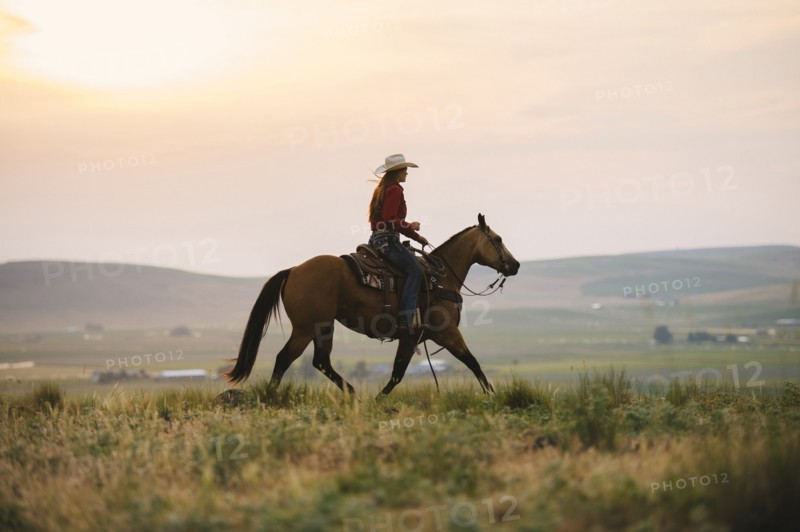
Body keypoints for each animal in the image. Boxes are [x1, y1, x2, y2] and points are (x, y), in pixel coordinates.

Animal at [225, 213, 520, 395]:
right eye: (497, 239)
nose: (515, 265)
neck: (441, 277)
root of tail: (294, 270)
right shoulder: (445, 333)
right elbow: (472, 363)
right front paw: (492, 395)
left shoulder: (413, 337)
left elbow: (399, 372)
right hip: (305, 329)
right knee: (284, 359)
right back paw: (271, 396)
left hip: (323, 328)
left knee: (321, 361)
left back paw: (352, 393)